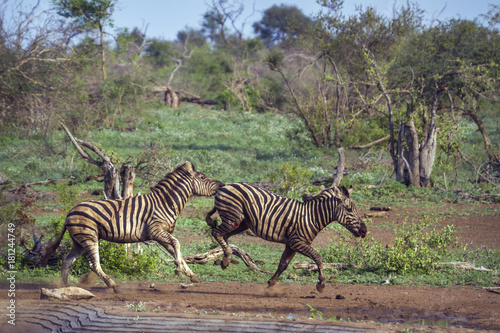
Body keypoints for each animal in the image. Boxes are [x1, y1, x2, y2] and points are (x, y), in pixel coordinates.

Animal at [42, 161, 223, 290]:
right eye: (203, 178)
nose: (222, 184)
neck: (165, 203)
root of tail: (70, 212)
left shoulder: (162, 234)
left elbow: (176, 251)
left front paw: (191, 275)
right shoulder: (155, 230)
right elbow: (177, 244)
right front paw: (179, 270)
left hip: (79, 241)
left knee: (67, 259)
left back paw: (65, 286)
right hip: (89, 237)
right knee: (93, 264)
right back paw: (112, 285)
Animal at [206, 183, 368, 292]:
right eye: (349, 209)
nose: (364, 231)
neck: (312, 217)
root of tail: (226, 185)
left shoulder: (292, 245)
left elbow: (283, 264)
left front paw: (271, 283)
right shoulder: (297, 242)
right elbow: (318, 257)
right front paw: (321, 284)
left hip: (241, 223)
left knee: (223, 235)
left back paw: (225, 259)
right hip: (234, 217)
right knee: (216, 233)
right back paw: (227, 257)